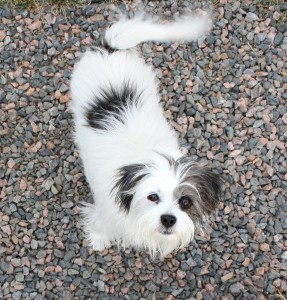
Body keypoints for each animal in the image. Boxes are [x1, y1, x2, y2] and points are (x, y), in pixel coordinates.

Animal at [71, 10, 224, 256]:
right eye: (153, 197)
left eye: (185, 202)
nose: (168, 219)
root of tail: (110, 49)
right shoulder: (106, 208)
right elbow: (100, 223)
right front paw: (99, 238)